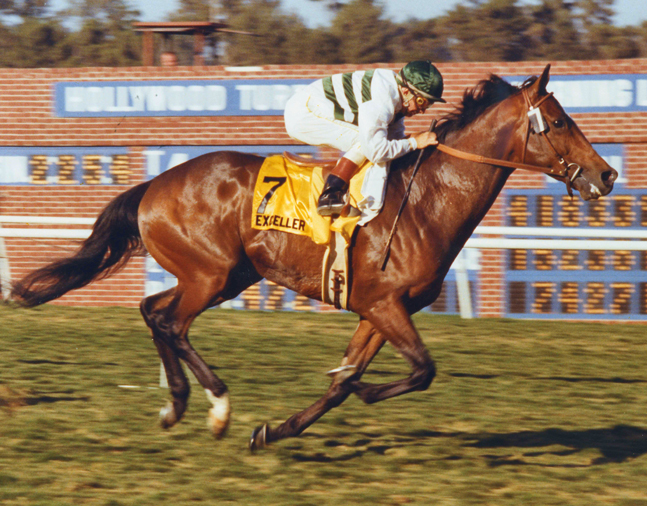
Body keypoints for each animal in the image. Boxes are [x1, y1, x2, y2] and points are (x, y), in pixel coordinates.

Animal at [10, 64, 616, 450]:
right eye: (559, 122)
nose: (607, 175)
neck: (427, 200)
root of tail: (155, 183)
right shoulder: (386, 305)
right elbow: (421, 370)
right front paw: (364, 392)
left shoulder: (378, 310)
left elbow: (345, 381)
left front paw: (275, 430)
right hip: (212, 274)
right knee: (172, 322)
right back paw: (216, 408)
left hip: (224, 274)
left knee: (154, 311)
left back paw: (176, 404)